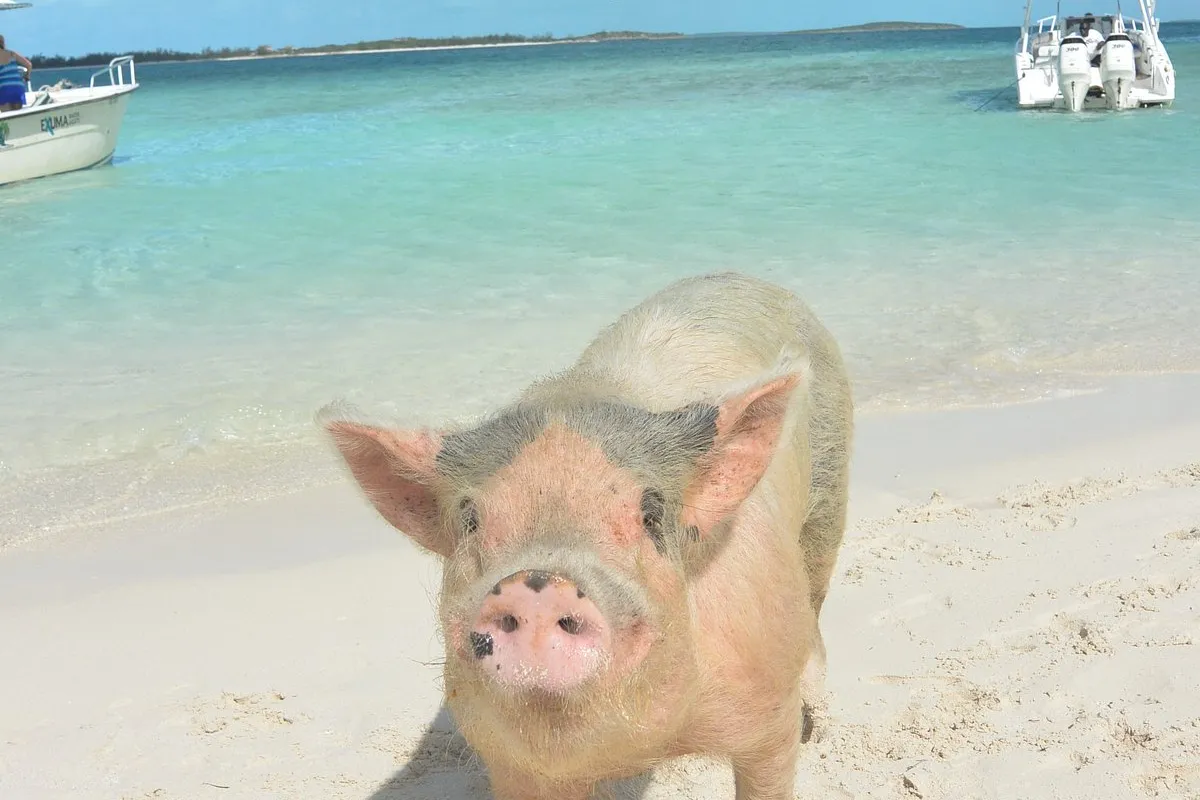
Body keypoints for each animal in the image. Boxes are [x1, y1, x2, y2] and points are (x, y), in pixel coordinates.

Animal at [322, 271, 854, 800]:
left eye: (651, 513)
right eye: (471, 519)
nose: (536, 582)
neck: (646, 749)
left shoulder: (768, 707)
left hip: (828, 500)